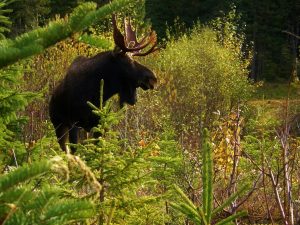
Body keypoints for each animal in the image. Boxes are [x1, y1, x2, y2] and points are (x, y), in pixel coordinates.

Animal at [49, 15, 158, 153]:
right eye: (127, 61)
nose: (152, 78)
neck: (95, 93)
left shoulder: (100, 124)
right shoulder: (74, 122)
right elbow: (75, 152)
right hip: (59, 124)